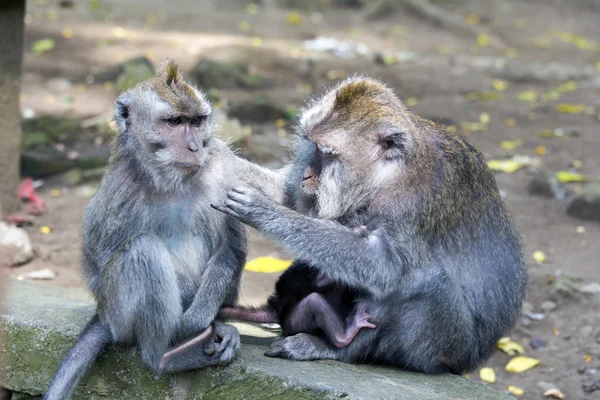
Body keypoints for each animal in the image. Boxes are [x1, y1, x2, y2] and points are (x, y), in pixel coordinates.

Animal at [44, 60, 246, 400]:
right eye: (174, 122)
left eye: (196, 121)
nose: (194, 147)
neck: (169, 179)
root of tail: (104, 318)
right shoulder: (119, 187)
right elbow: (99, 263)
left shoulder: (224, 167)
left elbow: (231, 246)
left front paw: (202, 315)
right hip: (118, 317)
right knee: (143, 250)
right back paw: (161, 356)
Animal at [216, 77, 524, 376]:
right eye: (311, 145)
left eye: (328, 153)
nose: (306, 175)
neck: (388, 177)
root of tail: (473, 359)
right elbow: (290, 195)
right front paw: (220, 155)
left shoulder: (412, 207)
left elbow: (384, 267)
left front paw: (262, 210)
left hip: (448, 349)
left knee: (428, 281)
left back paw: (340, 348)